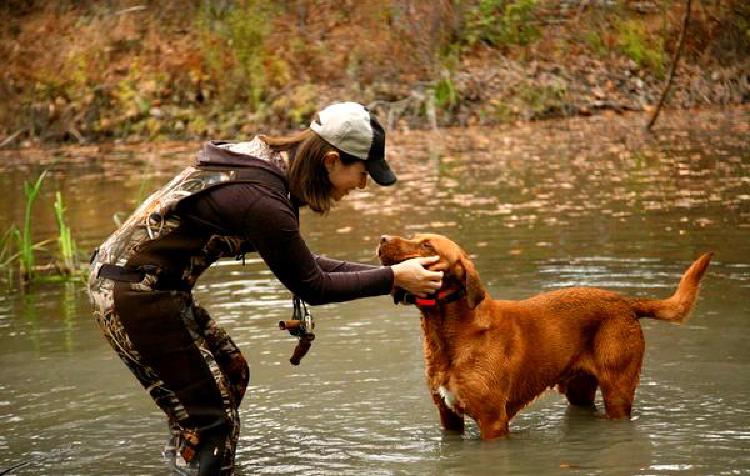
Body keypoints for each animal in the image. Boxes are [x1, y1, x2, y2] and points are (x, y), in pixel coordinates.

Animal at [378, 233, 712, 438]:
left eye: (427, 246)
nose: (382, 239)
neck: (448, 334)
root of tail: (625, 301)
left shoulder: (492, 421)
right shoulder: (448, 417)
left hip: (617, 390)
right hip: (580, 390)